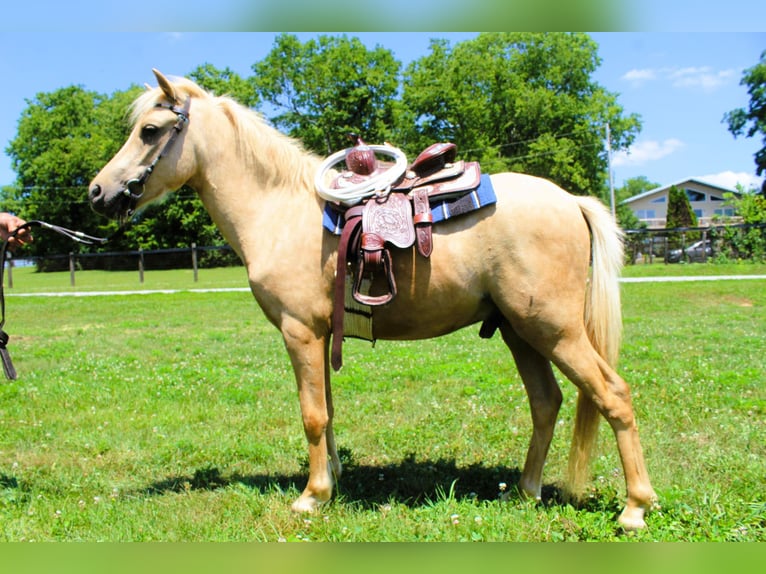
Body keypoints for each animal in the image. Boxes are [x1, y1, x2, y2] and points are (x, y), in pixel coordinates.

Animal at [87, 70, 656, 532]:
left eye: (150, 130)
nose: (97, 192)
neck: (278, 209)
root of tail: (571, 201)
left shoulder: (299, 332)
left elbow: (312, 414)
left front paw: (311, 496)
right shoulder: (318, 336)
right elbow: (327, 410)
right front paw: (332, 481)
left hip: (555, 329)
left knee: (613, 395)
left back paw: (634, 508)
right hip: (521, 330)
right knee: (546, 402)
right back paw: (525, 491)